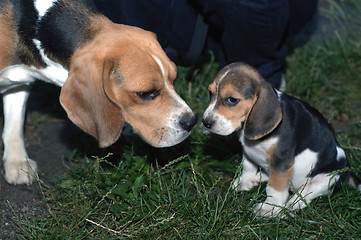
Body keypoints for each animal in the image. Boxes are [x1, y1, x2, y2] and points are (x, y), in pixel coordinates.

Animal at [0, 0, 197, 186]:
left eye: (173, 79)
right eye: (146, 93)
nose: (192, 122)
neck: (35, 22)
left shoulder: (19, 81)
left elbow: (14, 123)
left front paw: (17, 162)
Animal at [201, 62, 358, 218]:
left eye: (232, 100)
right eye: (210, 93)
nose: (205, 122)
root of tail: (347, 170)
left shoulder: (281, 161)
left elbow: (275, 187)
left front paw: (269, 208)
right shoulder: (248, 150)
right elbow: (248, 166)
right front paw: (244, 182)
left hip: (327, 178)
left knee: (306, 195)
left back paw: (291, 205)